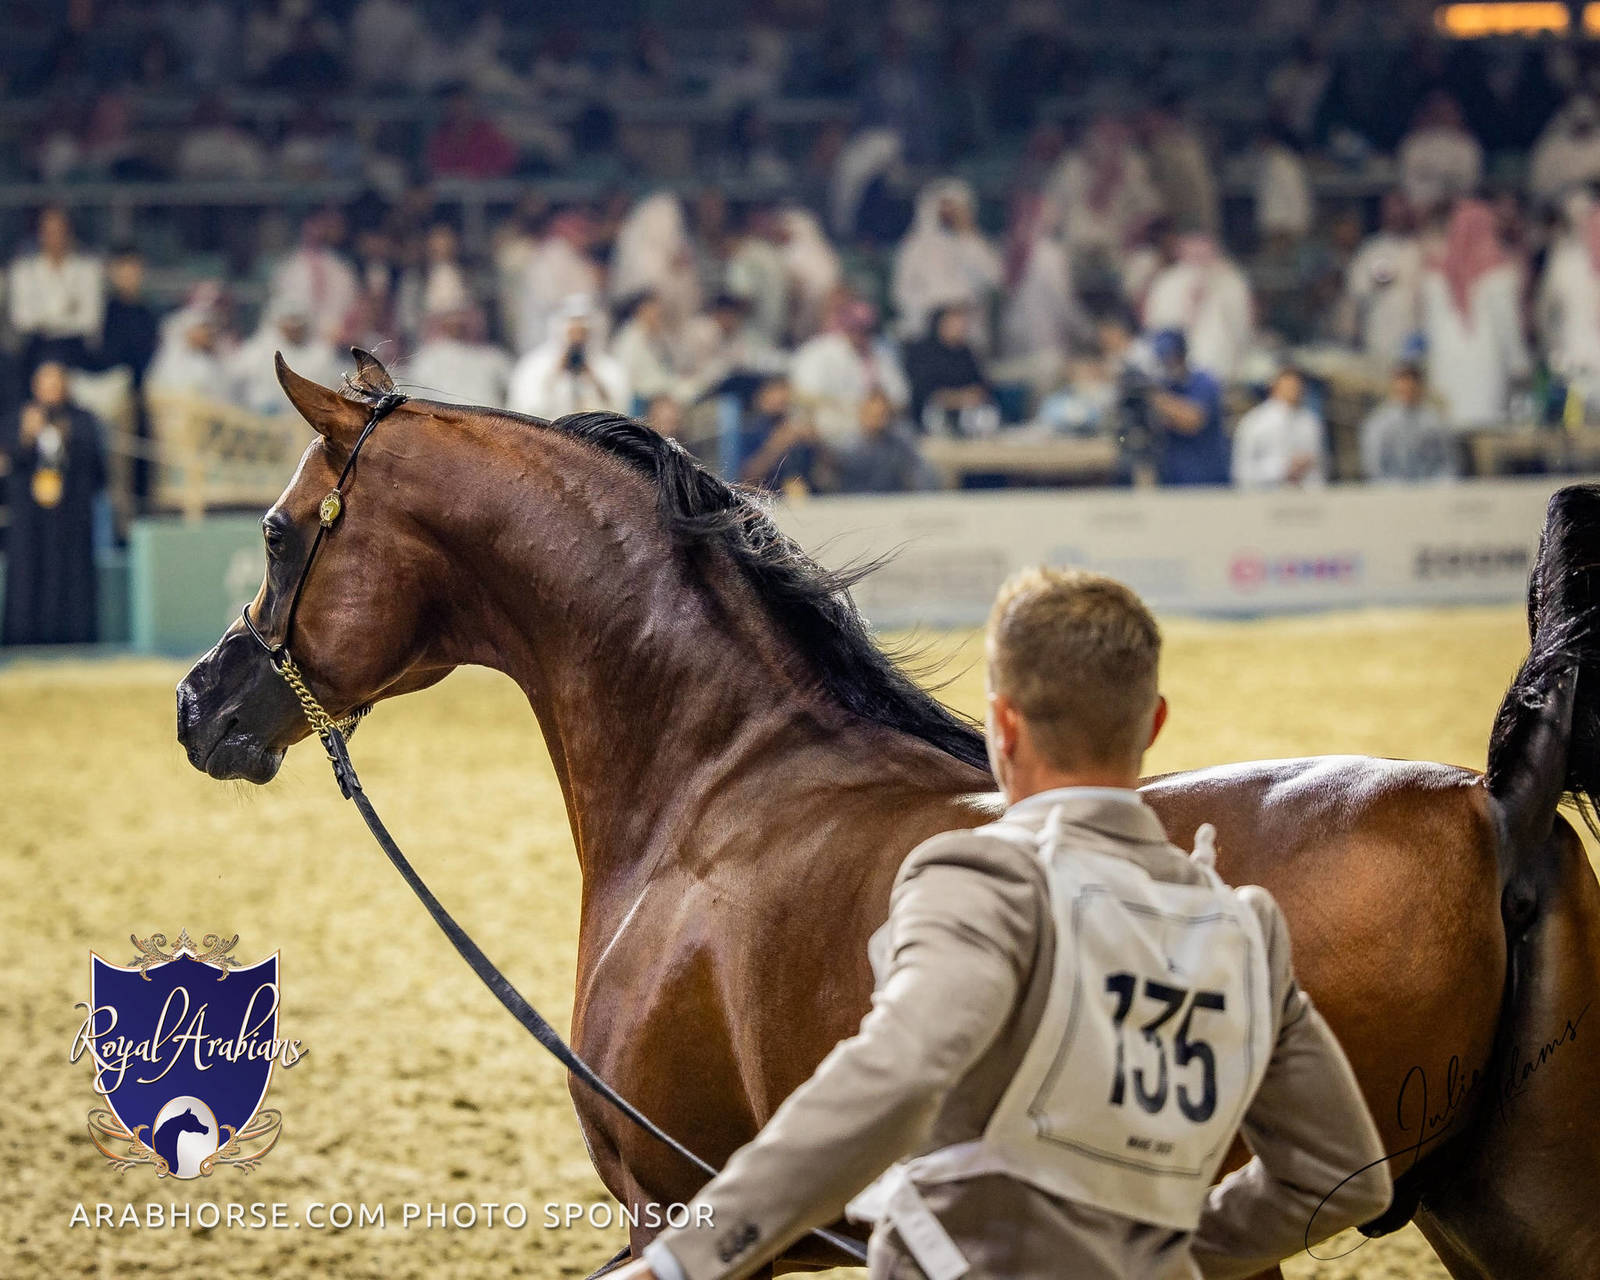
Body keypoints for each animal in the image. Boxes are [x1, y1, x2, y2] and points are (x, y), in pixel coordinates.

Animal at [175, 351, 1600, 1279]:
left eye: (279, 529)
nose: (200, 703)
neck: (721, 778)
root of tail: (1493, 805)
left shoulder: (681, 1213)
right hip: (1510, 1210)